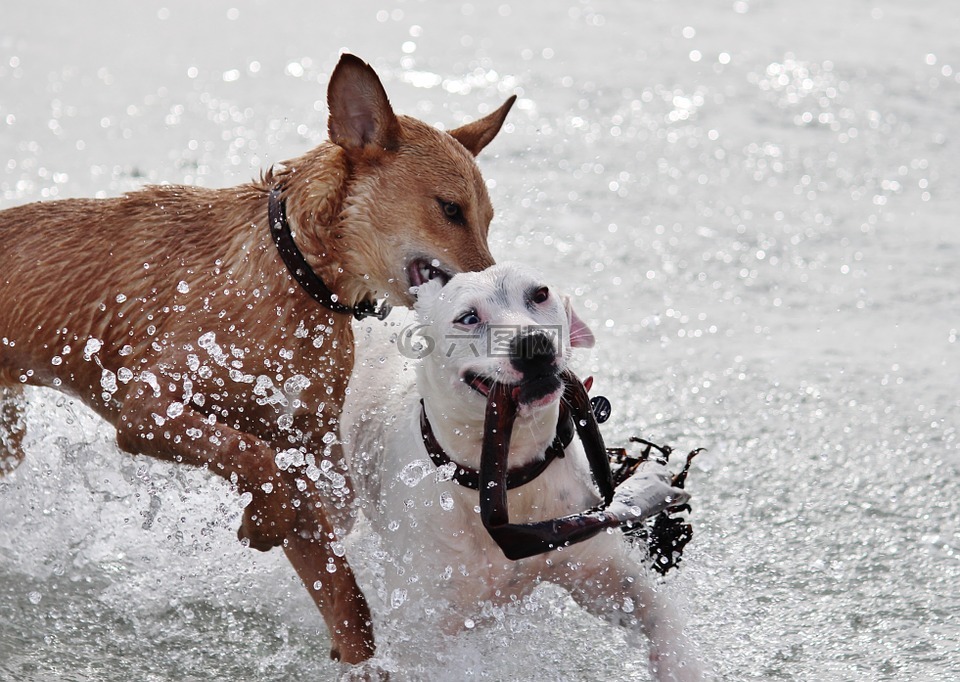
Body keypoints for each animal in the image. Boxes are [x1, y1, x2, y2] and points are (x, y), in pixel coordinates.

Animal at [0, 54, 516, 664]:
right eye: (450, 209)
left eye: (488, 219)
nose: (499, 292)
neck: (294, 277)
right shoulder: (145, 407)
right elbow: (250, 457)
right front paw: (262, 520)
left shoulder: (305, 441)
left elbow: (337, 571)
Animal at [342, 262, 700, 676]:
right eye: (468, 317)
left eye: (540, 293)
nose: (533, 343)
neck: (510, 476)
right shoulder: (427, 633)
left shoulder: (606, 573)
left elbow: (662, 624)